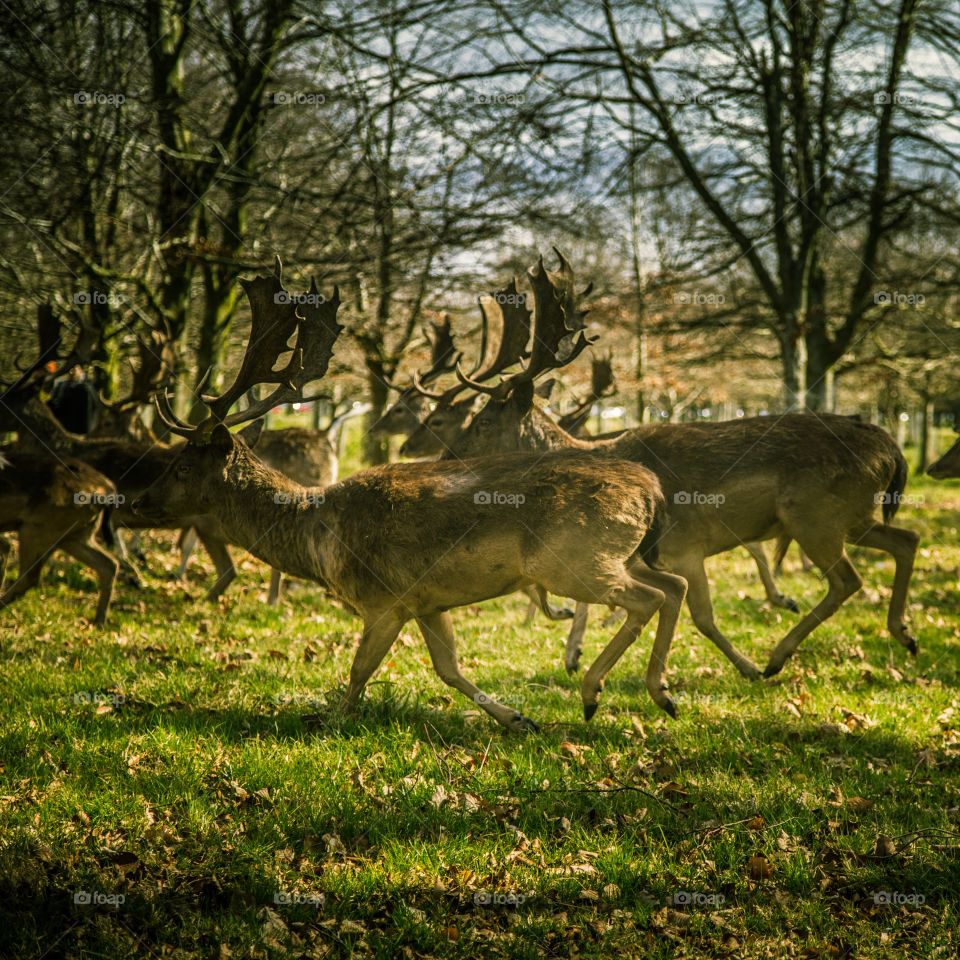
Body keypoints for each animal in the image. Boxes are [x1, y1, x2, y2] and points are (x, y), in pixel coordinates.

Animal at [133, 258, 688, 732]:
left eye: (182, 464)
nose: (137, 500)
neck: (315, 542)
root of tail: (650, 489)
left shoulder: (383, 598)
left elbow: (360, 669)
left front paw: (335, 723)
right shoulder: (427, 601)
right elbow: (449, 667)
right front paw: (517, 719)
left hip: (573, 559)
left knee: (649, 597)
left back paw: (596, 692)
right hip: (623, 554)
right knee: (676, 584)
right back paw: (661, 693)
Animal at [446, 251, 920, 680]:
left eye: (483, 420)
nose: (446, 457)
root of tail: (892, 449)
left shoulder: (686, 545)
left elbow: (702, 617)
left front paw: (746, 668)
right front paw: (577, 656)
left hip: (813, 516)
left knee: (848, 579)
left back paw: (778, 656)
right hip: (852, 516)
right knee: (906, 539)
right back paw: (904, 634)